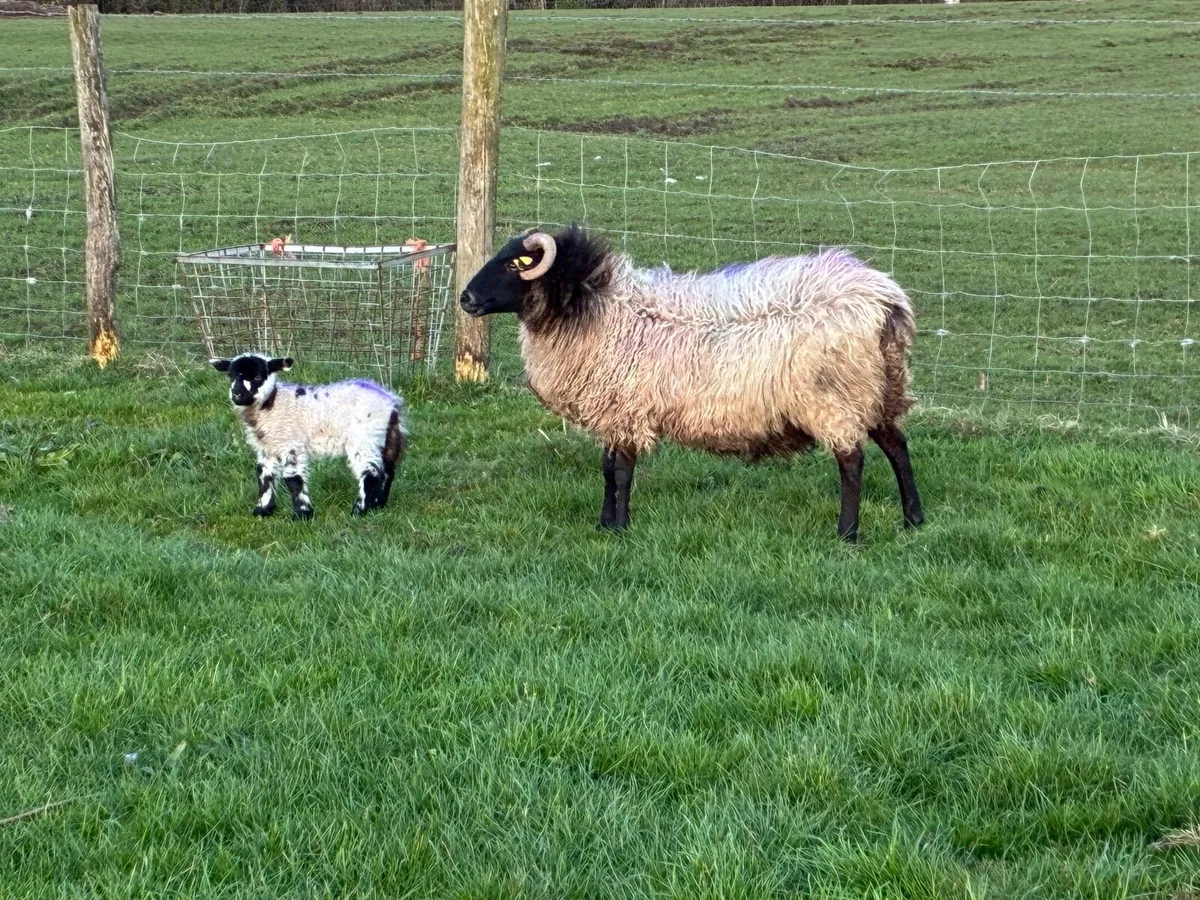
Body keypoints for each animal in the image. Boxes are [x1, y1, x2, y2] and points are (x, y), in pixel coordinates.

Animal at [210, 353, 407, 520]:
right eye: (231, 376)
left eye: (258, 377)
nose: (237, 394)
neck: (271, 404)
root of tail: (390, 402)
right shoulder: (266, 448)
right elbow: (264, 475)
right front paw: (263, 510)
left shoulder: (290, 443)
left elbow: (293, 478)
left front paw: (301, 514)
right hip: (386, 438)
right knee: (387, 471)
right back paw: (379, 504)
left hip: (363, 438)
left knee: (371, 472)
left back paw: (360, 510)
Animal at [459, 225, 924, 541]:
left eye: (512, 264)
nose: (465, 298)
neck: (599, 310)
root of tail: (886, 300)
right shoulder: (611, 410)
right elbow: (607, 470)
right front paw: (604, 524)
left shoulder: (626, 408)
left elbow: (622, 472)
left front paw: (621, 528)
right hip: (876, 387)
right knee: (897, 446)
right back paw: (913, 519)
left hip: (835, 394)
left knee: (853, 462)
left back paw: (847, 532)